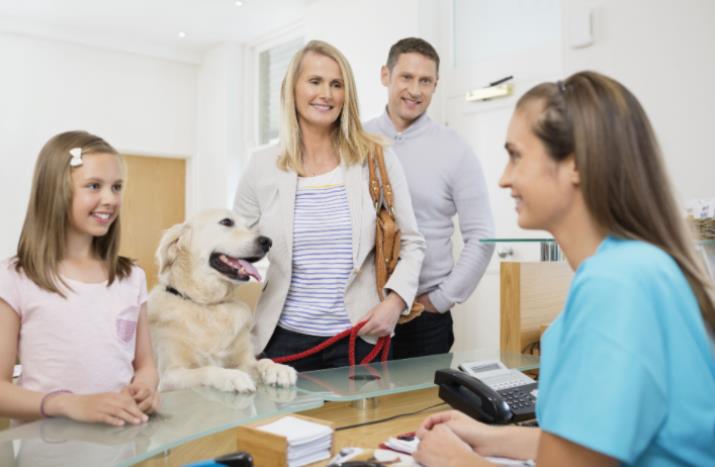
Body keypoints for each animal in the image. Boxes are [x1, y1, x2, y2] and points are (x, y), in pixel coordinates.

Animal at [148, 210, 296, 394]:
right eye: (226, 222)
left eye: (248, 227)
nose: (268, 242)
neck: (208, 305)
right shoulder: (169, 375)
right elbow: (207, 369)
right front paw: (232, 376)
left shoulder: (244, 361)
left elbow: (260, 362)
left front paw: (277, 368)